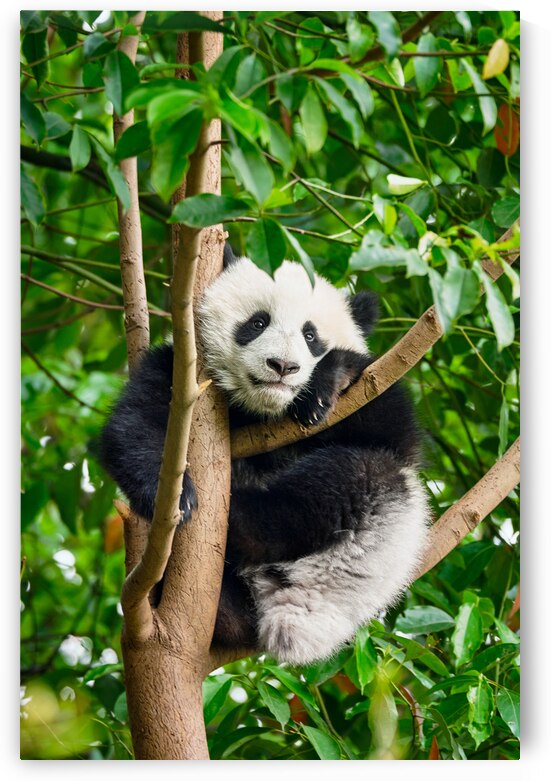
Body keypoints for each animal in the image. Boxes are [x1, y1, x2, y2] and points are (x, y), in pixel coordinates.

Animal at [99, 245, 430, 666]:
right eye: (257, 322)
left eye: (310, 335)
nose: (283, 367)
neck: (263, 410)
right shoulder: (181, 373)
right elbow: (133, 426)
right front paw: (175, 499)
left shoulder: (381, 400)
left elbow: (391, 429)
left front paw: (326, 383)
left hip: (380, 535)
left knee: (340, 484)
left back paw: (240, 516)